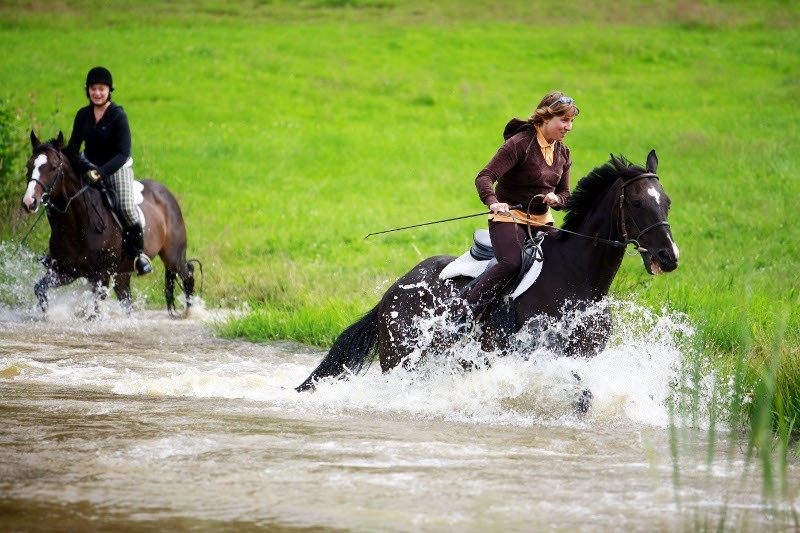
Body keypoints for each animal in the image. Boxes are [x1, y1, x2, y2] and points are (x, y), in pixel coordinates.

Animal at [21, 131, 197, 318]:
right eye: (28, 166)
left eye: (53, 167)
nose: (29, 202)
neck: (76, 225)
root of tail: (166, 193)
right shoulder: (65, 271)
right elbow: (39, 288)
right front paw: (48, 315)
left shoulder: (101, 275)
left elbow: (95, 309)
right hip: (122, 272)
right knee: (127, 300)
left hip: (172, 256)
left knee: (188, 272)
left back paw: (190, 312)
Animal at [296, 150, 680, 390]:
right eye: (637, 202)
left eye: (666, 201)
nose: (669, 256)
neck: (579, 279)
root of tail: (394, 290)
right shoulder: (541, 357)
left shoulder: (584, 358)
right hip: (400, 358)